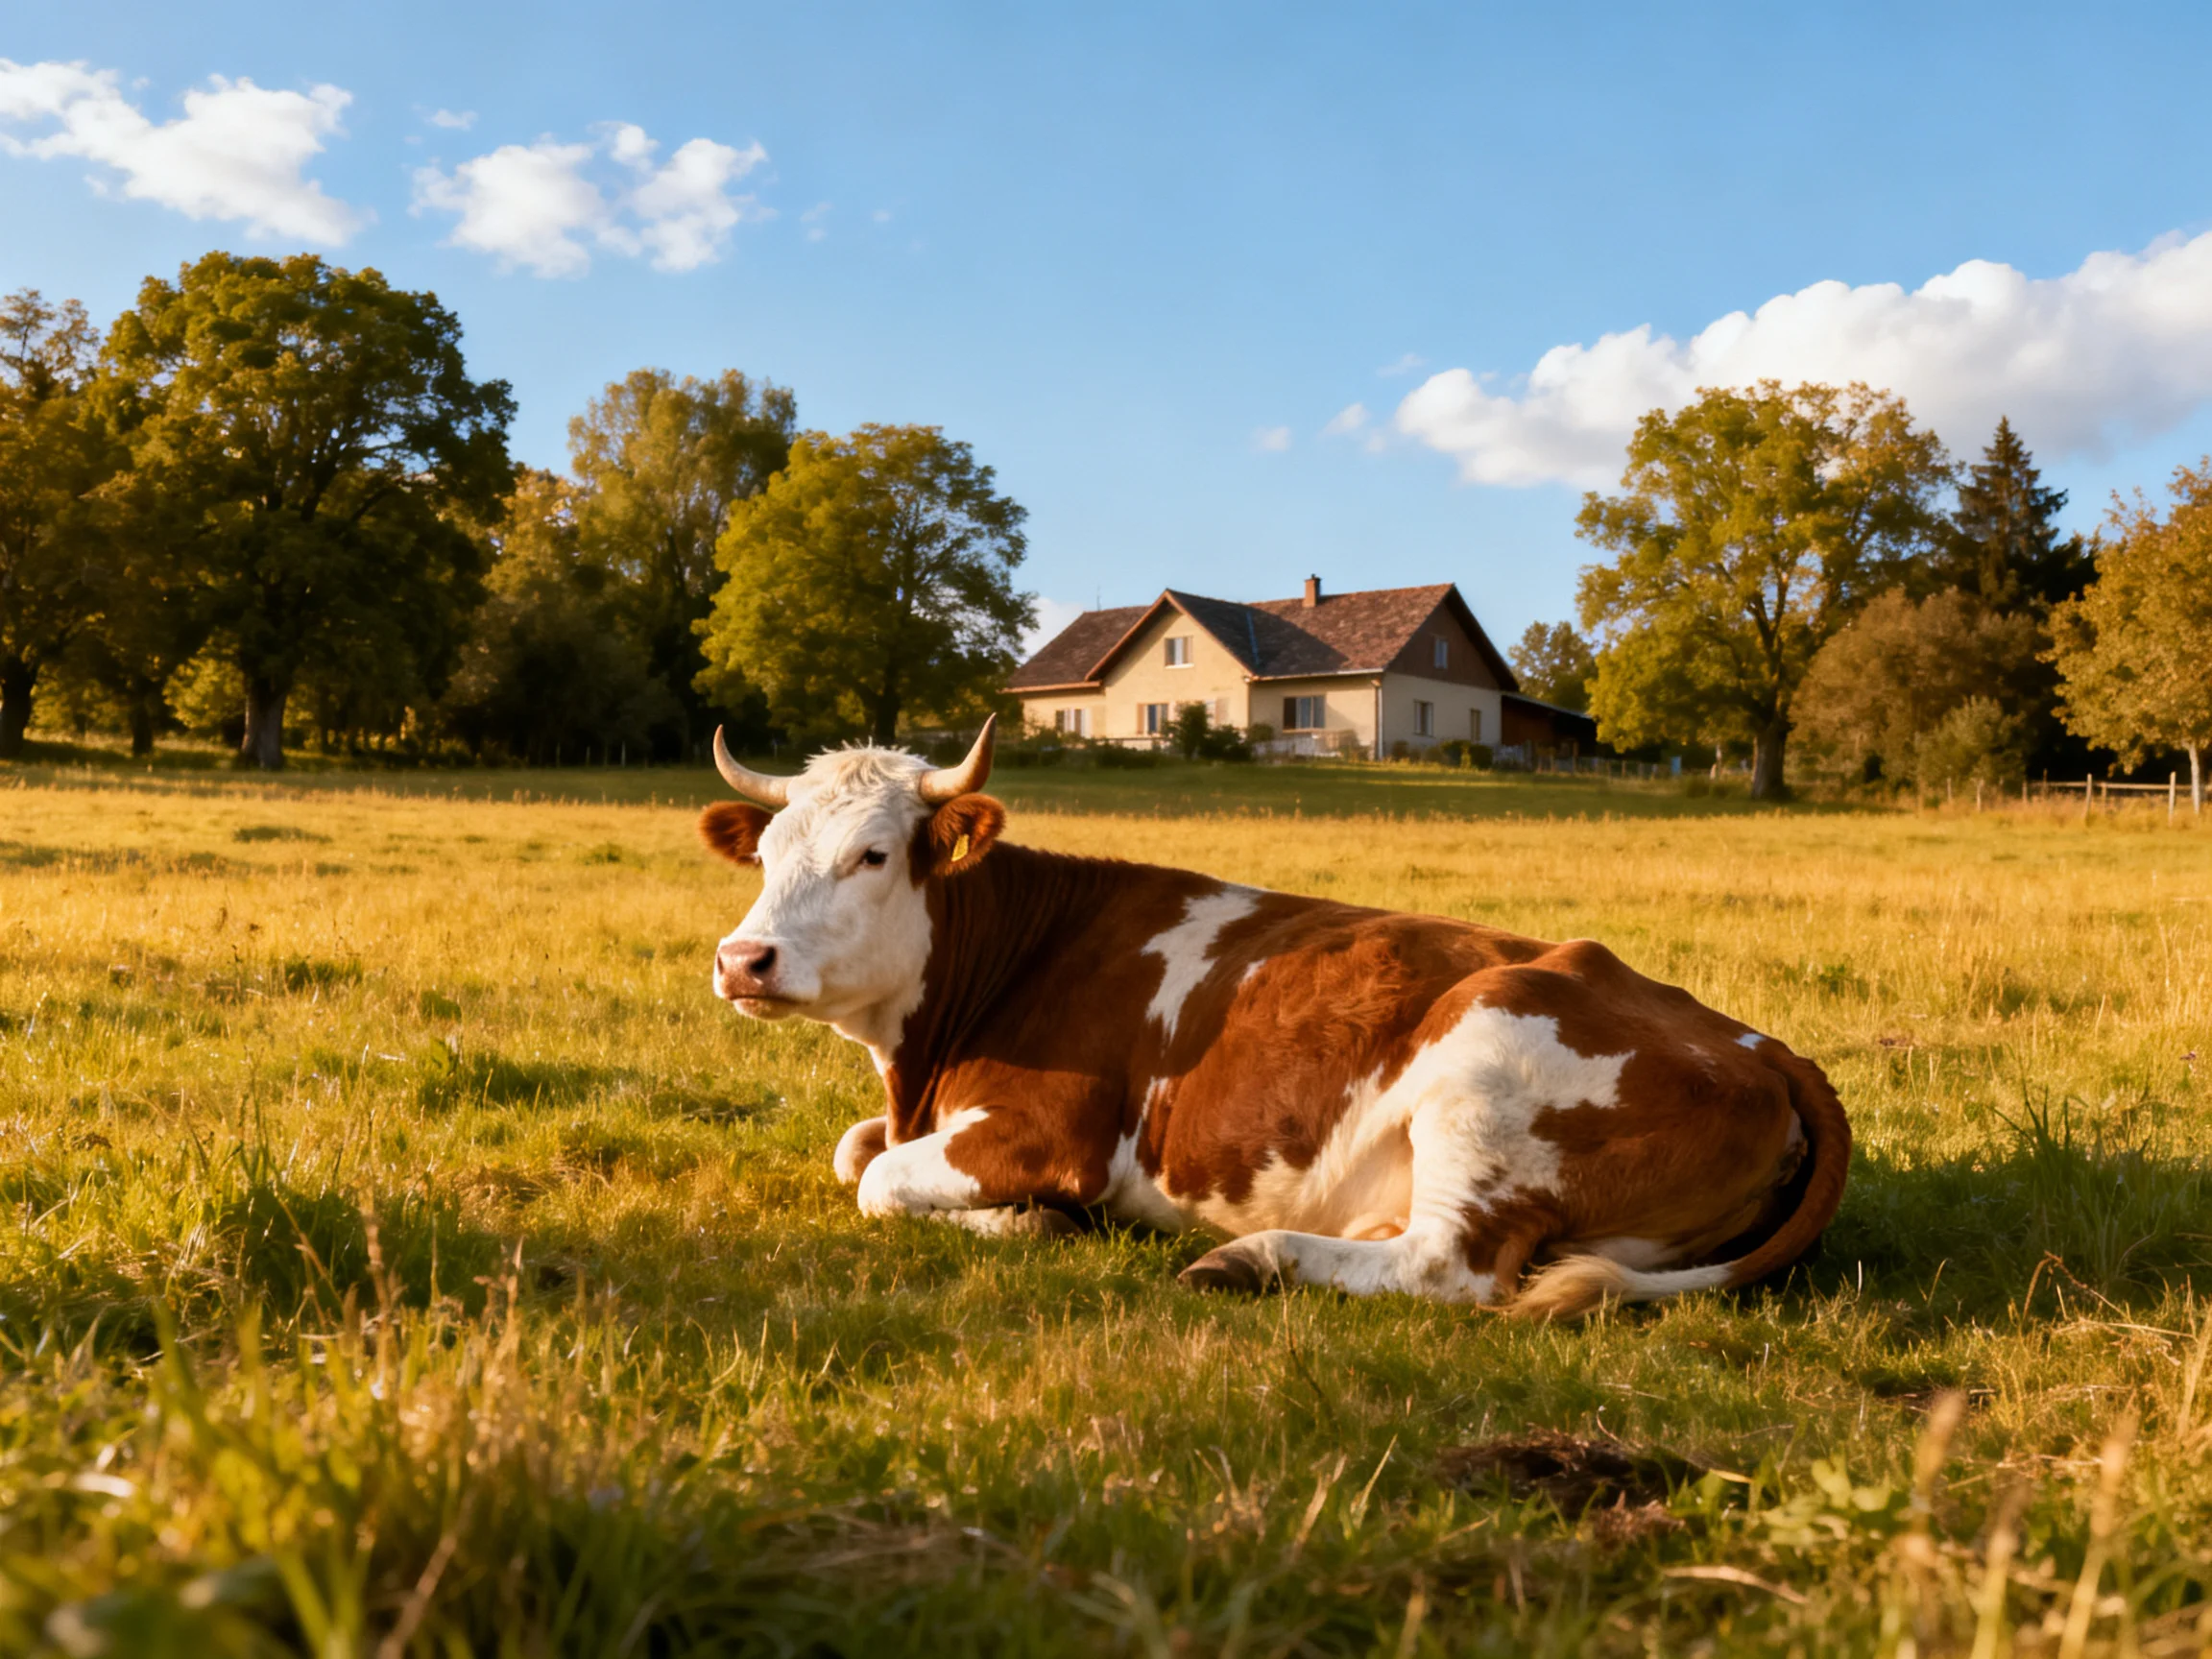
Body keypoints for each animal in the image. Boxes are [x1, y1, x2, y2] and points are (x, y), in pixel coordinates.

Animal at [698, 717, 1849, 1318]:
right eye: (766, 853)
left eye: (873, 855)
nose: (741, 960)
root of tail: (1762, 1044)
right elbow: (856, 1152)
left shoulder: (1057, 1134)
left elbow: (879, 1181)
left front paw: (1031, 1220)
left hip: (1490, 1050)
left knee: (1453, 1268)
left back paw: (1247, 1258)